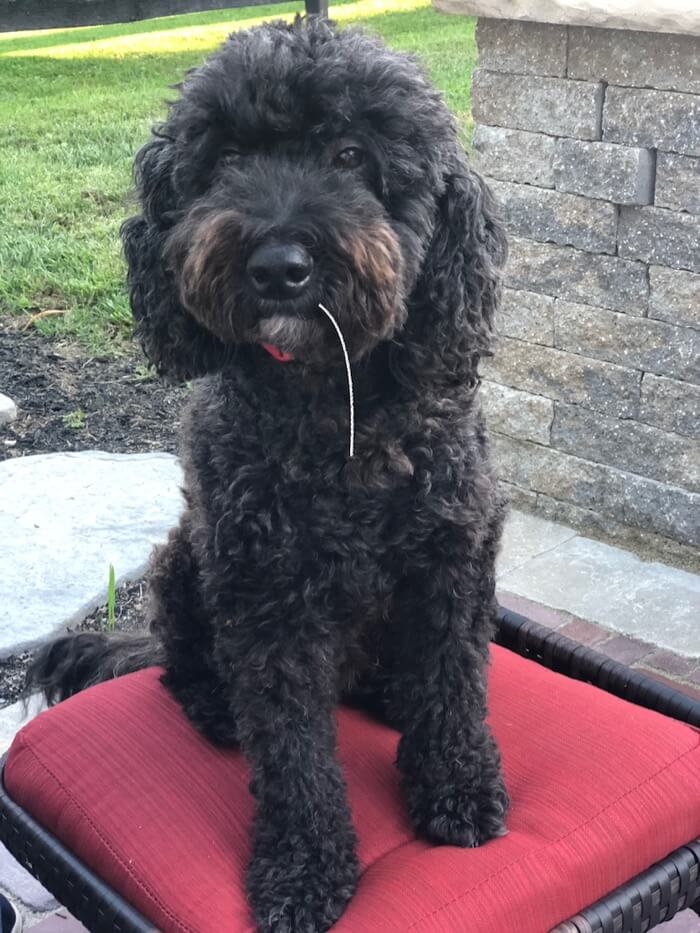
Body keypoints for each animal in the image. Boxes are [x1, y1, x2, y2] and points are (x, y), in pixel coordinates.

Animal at [27, 16, 508, 932]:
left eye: (352, 155)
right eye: (225, 160)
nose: (279, 265)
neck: (332, 400)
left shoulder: (452, 560)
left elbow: (452, 685)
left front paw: (457, 788)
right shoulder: (267, 599)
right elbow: (292, 754)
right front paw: (302, 867)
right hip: (185, 557)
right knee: (183, 662)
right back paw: (216, 707)